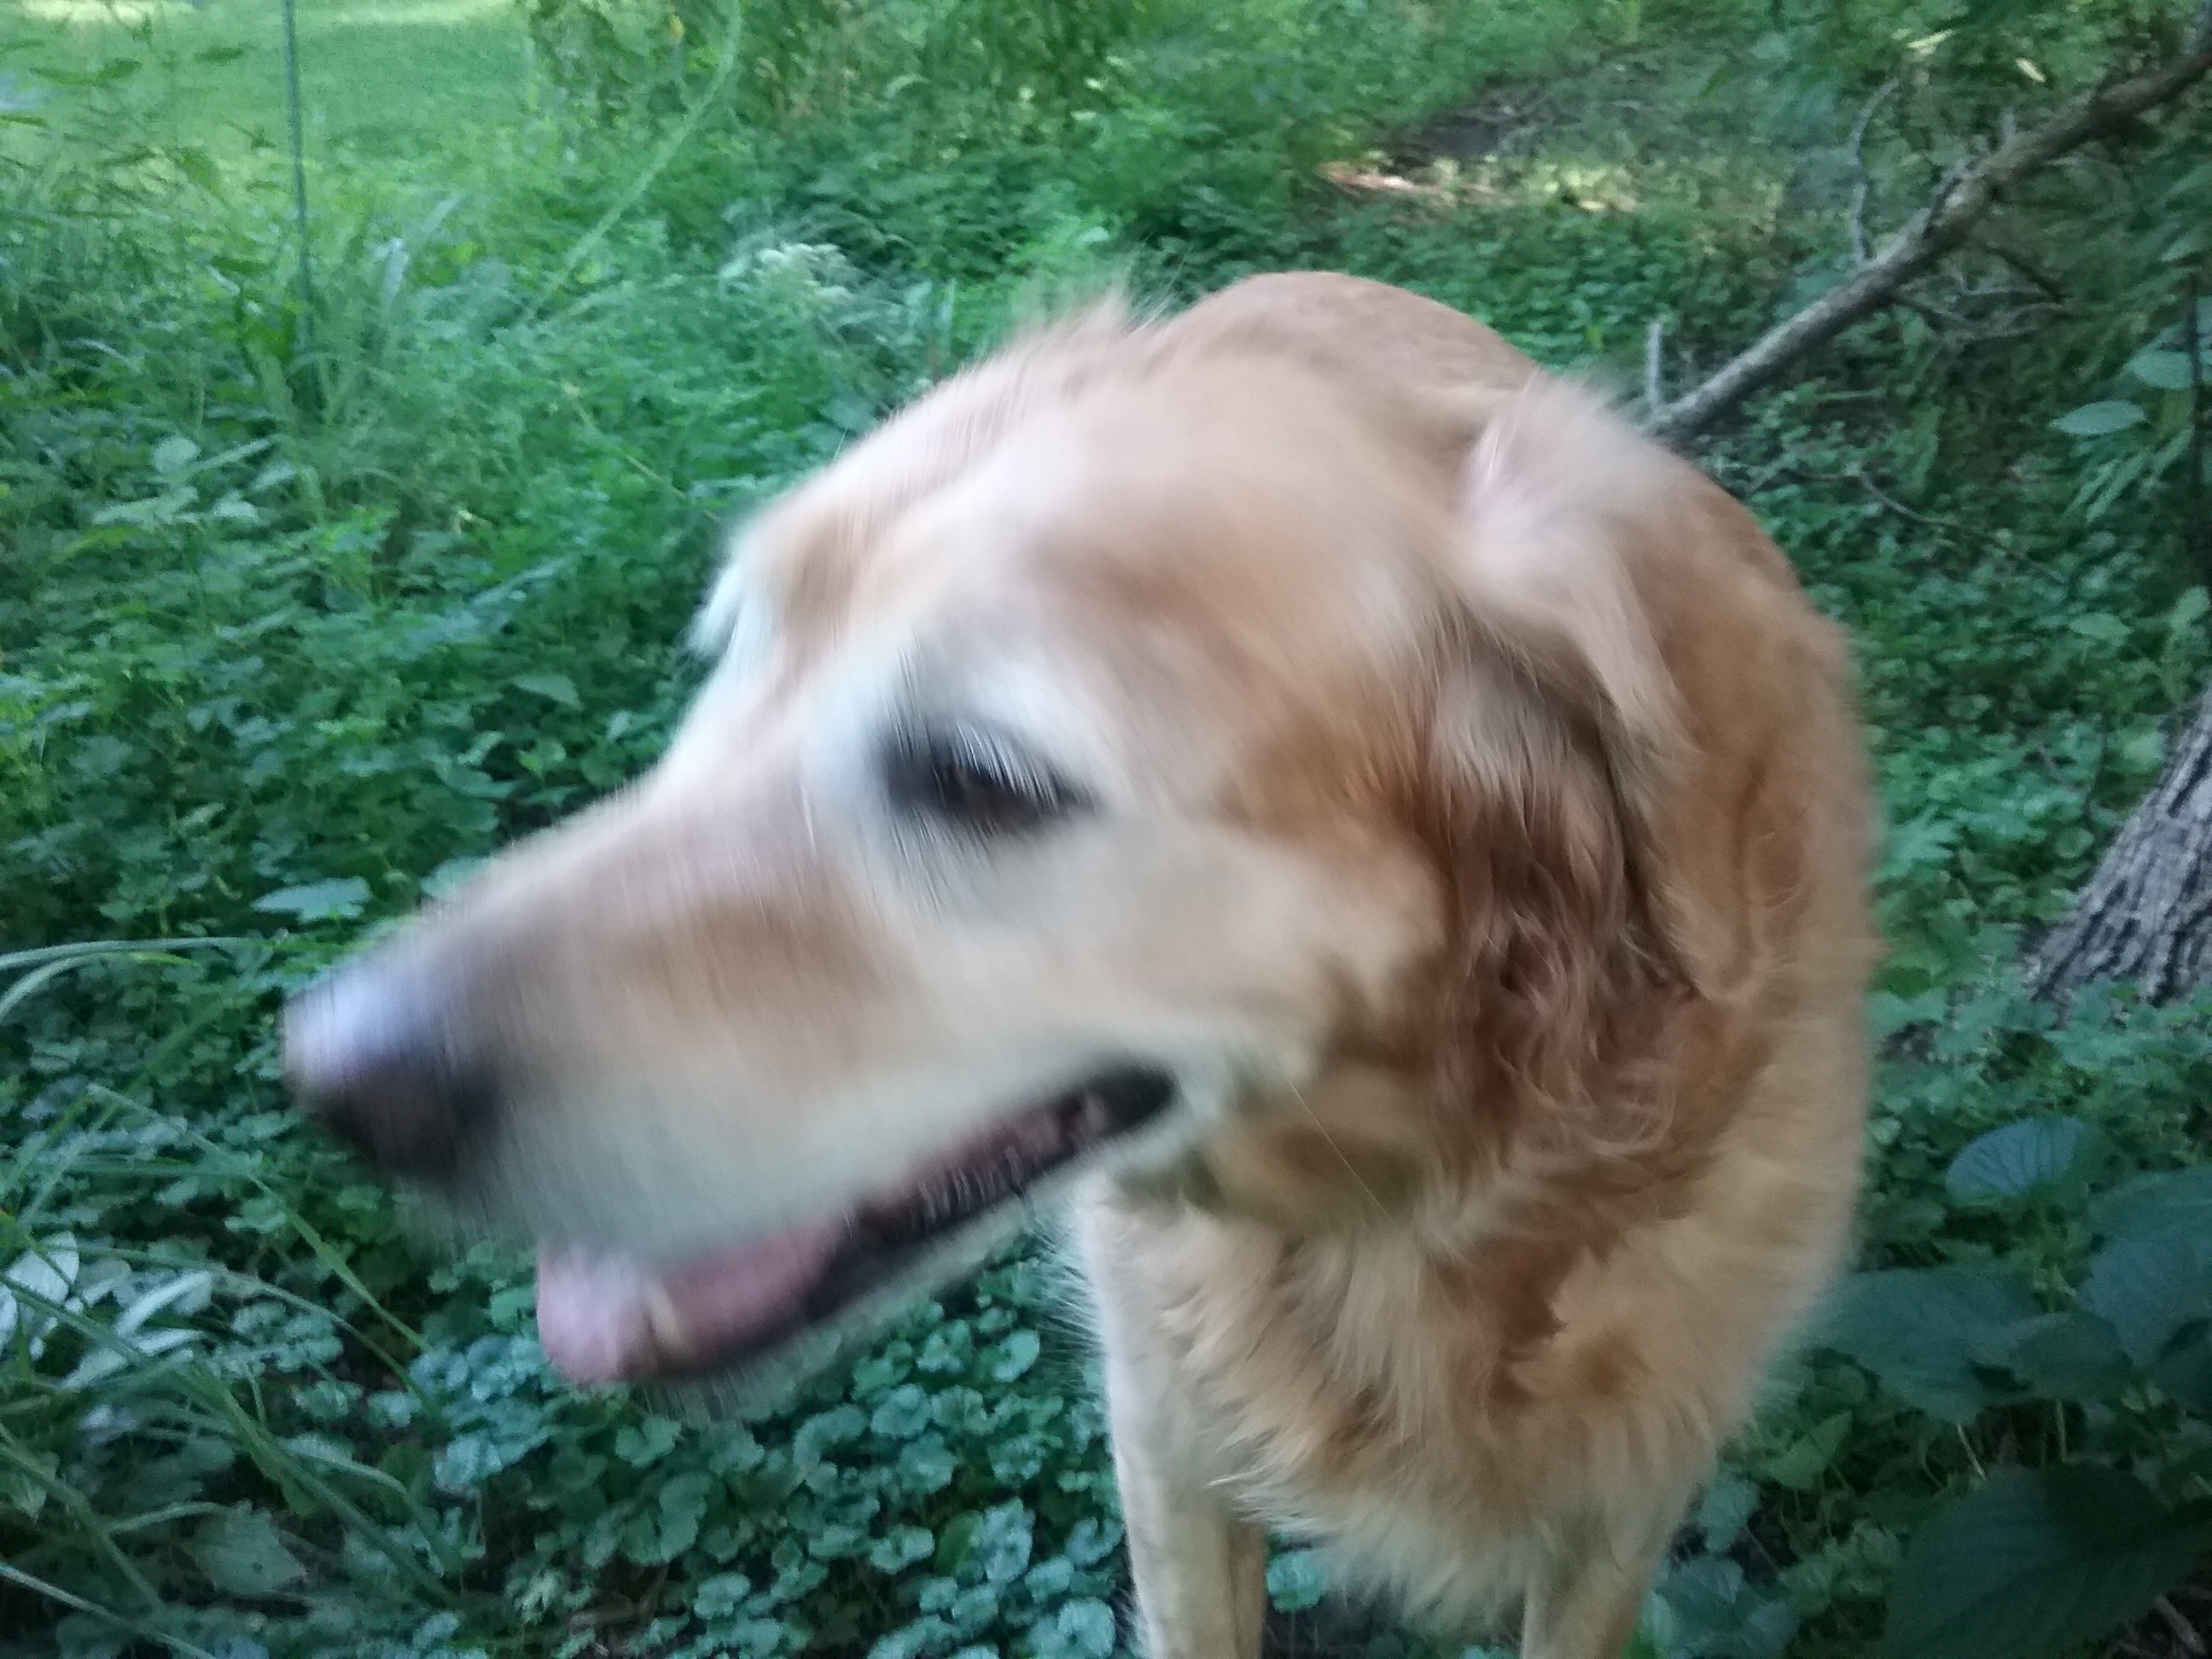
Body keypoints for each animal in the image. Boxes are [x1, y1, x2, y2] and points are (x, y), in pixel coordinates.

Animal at [285, 272, 1875, 1659]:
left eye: (980, 779)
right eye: (735, 660)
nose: (334, 1077)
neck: (1411, 1210)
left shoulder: (1628, 1498)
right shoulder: (1167, 1451)